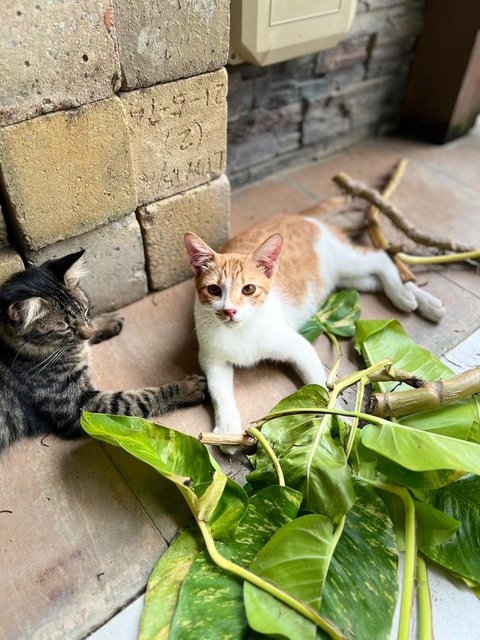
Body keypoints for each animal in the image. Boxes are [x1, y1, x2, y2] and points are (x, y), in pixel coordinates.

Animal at [0, 252, 206, 452]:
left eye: (85, 311)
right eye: (66, 328)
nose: (86, 334)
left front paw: (105, 322)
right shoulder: (81, 407)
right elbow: (140, 399)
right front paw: (187, 388)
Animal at [185, 214, 446, 450]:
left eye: (248, 289)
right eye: (214, 290)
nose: (229, 310)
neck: (241, 330)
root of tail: (299, 216)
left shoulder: (299, 347)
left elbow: (319, 383)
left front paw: (338, 419)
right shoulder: (212, 358)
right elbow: (218, 389)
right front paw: (227, 429)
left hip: (345, 261)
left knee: (380, 258)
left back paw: (409, 297)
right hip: (349, 278)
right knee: (375, 278)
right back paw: (415, 297)